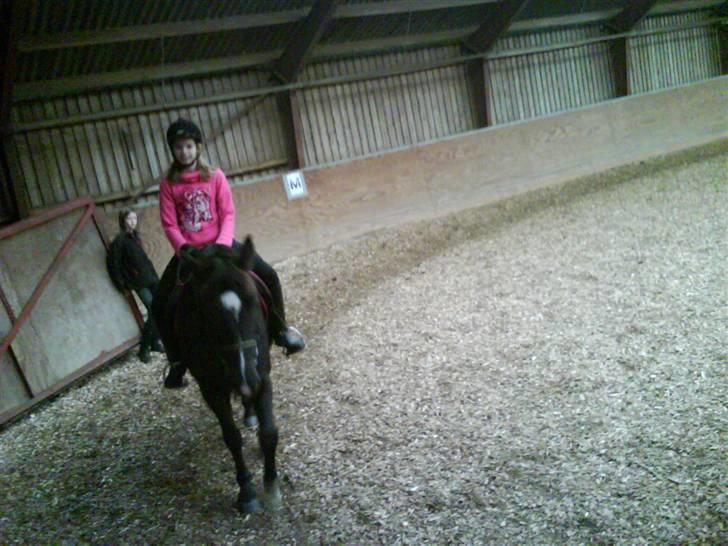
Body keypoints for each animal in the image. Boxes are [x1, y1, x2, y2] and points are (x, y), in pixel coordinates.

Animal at [174, 237, 281, 514]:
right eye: (209, 313)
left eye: (253, 300)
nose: (246, 378)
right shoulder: (210, 389)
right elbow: (232, 438)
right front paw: (247, 493)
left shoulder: (263, 376)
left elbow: (269, 432)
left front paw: (271, 487)